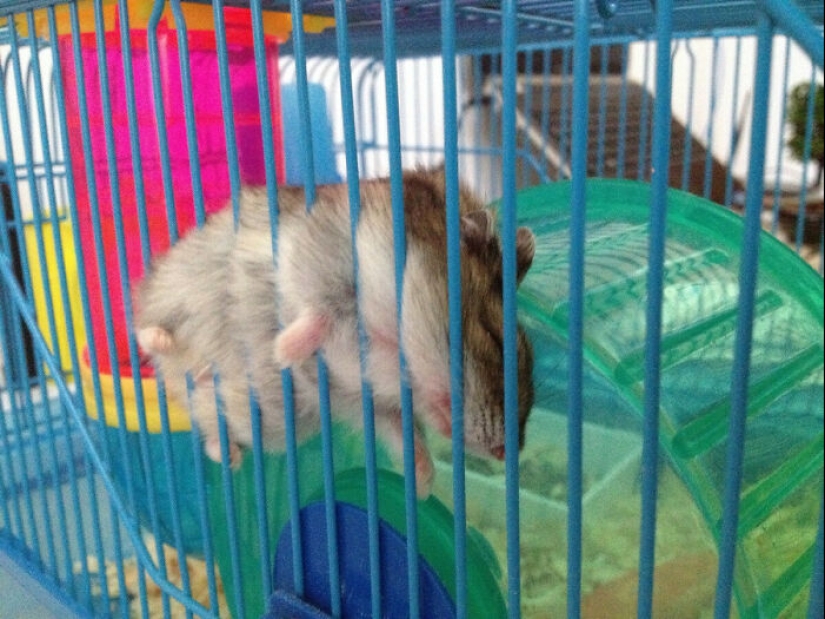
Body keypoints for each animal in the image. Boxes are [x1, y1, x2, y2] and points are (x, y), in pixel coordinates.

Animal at [135, 170, 536, 497]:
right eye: (497, 339)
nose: (508, 453)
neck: (396, 349)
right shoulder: (326, 256)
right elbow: (320, 310)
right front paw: (284, 351)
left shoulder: (370, 402)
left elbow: (406, 435)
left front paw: (422, 487)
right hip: (180, 281)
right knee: (146, 326)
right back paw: (171, 344)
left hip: (269, 422)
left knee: (209, 431)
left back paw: (225, 441)